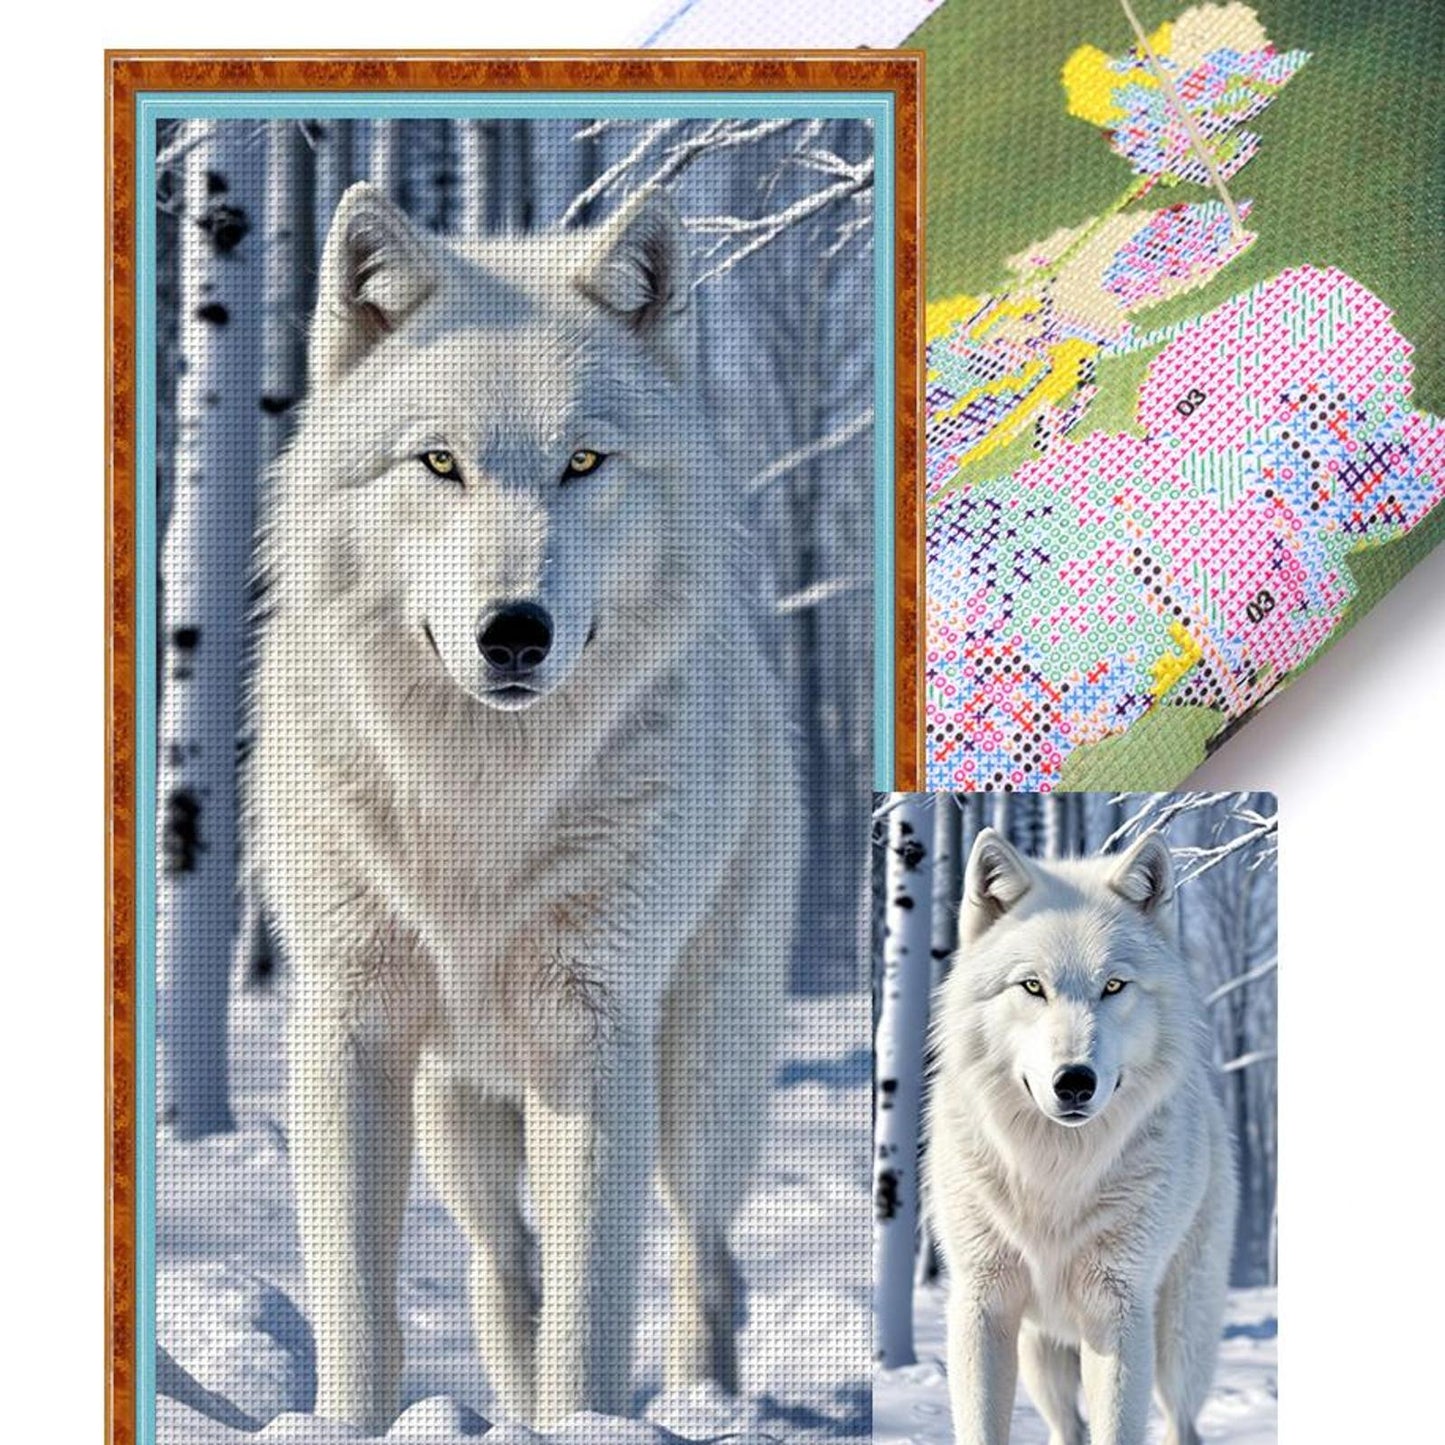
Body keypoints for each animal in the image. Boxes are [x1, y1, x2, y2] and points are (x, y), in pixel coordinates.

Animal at [247, 181, 799, 1432]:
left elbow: (592, 1313)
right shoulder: (347, 1025)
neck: (477, 797)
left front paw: (585, 1422)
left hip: (698, 1081)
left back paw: (701, 1403)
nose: (513, 631)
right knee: (503, 1274)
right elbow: (359, 1299)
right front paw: (347, 1421)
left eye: (584, 461)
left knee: (704, 1258)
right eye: (438, 462)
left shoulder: (592, 1030)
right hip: (459, 1115)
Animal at [925, 829, 1235, 1445]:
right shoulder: (982, 1305)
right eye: (1032, 987)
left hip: (1178, 1341)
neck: (1055, 1170)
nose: (1074, 1082)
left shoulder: (1117, 1310)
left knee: (1182, 1423)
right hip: (1041, 1358)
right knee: (1068, 1428)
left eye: (1113, 986)